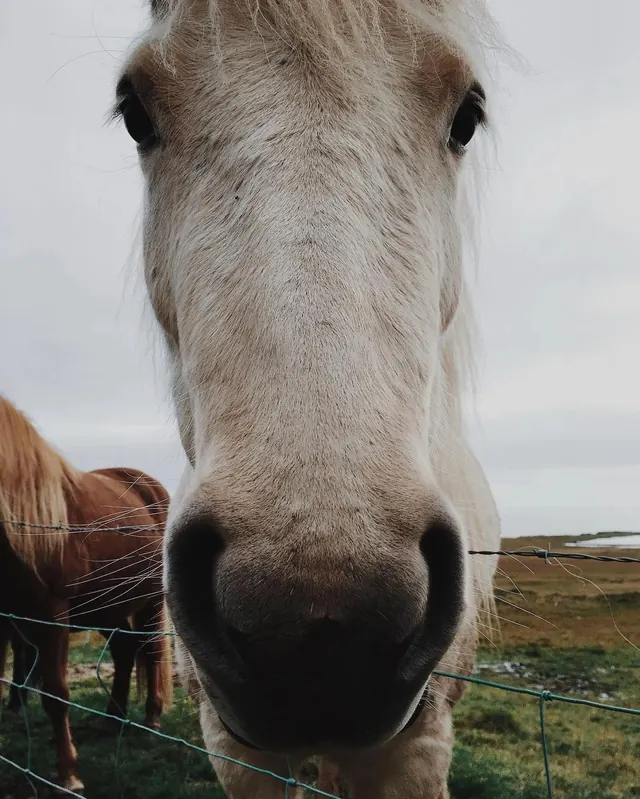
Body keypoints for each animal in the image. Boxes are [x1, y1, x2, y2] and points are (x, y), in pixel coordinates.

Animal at [0, 395, 174, 793]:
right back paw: (113, 717)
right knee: (125, 652)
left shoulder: (51, 615)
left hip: (150, 604)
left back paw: (152, 718)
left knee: (151, 651)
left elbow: (56, 694)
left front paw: (68, 775)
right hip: (108, 609)